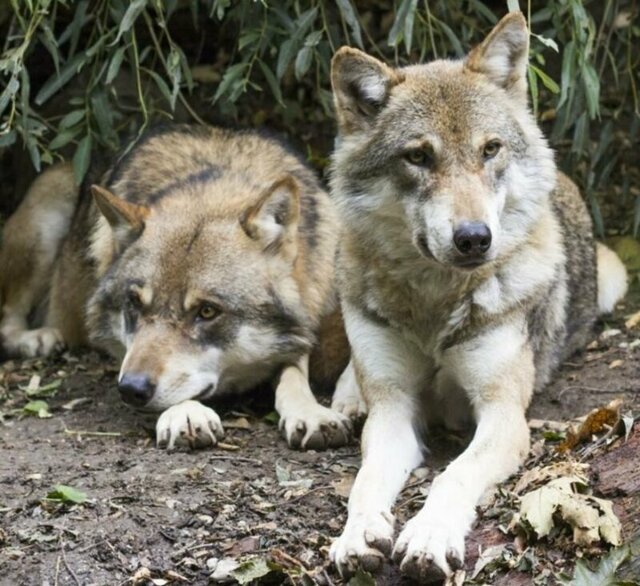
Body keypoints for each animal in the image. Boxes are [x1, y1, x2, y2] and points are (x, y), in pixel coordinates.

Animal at [0, 125, 350, 450]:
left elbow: (295, 373)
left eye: (207, 311)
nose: (131, 389)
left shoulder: (308, 324)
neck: (216, 183)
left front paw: (310, 412)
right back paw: (38, 339)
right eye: (134, 304)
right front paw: (187, 413)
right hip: (50, 206)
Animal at [328, 8, 628, 580]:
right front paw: (356, 535)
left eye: (490, 149)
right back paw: (344, 402)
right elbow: (366, 482)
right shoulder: (394, 410)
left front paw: (428, 536)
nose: (473, 238)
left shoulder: (503, 414)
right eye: (418, 157)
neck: (433, 304)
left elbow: (454, 475)